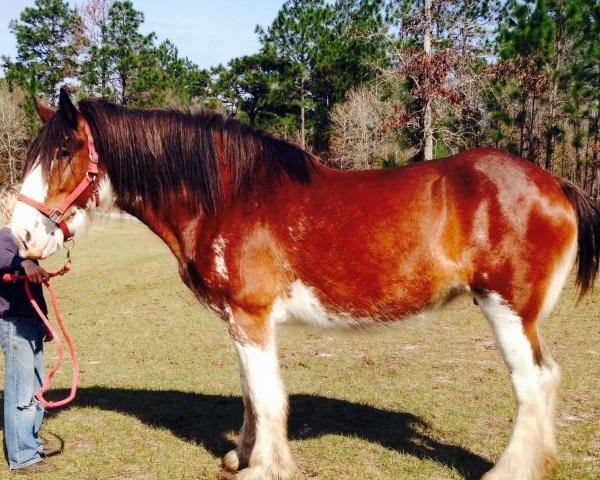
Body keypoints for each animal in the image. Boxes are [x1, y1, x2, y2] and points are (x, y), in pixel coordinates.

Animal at [9, 88, 600, 478]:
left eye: (63, 153)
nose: (21, 235)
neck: (229, 195)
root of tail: (556, 184)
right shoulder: (240, 321)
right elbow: (251, 394)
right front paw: (241, 456)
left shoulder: (251, 316)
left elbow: (269, 397)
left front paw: (265, 468)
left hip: (508, 312)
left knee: (534, 384)